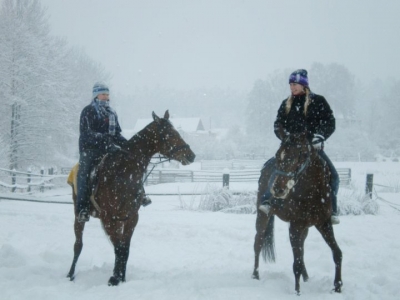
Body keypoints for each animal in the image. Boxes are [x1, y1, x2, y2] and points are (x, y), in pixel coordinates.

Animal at [66, 110, 196, 286]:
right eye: (169, 134)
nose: (191, 155)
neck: (124, 172)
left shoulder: (131, 217)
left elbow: (124, 249)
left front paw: (121, 277)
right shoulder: (108, 218)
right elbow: (118, 248)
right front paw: (114, 278)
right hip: (78, 216)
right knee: (78, 244)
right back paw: (70, 274)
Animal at [252, 132, 342, 296]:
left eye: (298, 156)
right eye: (278, 154)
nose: (278, 189)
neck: (312, 191)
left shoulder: (324, 224)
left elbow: (337, 253)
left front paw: (338, 286)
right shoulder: (295, 226)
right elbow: (297, 263)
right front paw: (297, 292)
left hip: (305, 229)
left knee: (302, 249)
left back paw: (306, 278)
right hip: (263, 218)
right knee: (258, 243)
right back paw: (255, 275)